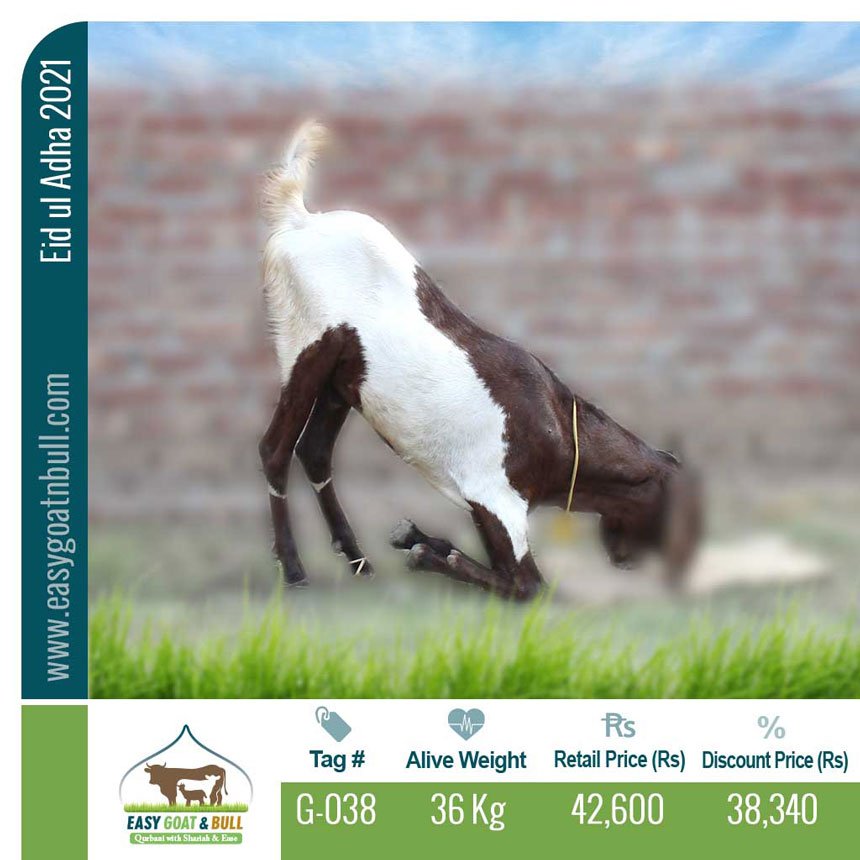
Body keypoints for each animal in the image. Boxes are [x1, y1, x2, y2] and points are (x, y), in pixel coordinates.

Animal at [259, 121, 702, 601]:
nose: (631, 562)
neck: (561, 428)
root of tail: (300, 217)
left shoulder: (480, 507)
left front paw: (417, 539)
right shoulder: (496, 498)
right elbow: (529, 587)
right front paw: (428, 553)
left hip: (342, 378)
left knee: (315, 452)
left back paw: (358, 561)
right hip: (307, 347)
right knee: (275, 450)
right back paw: (295, 570)